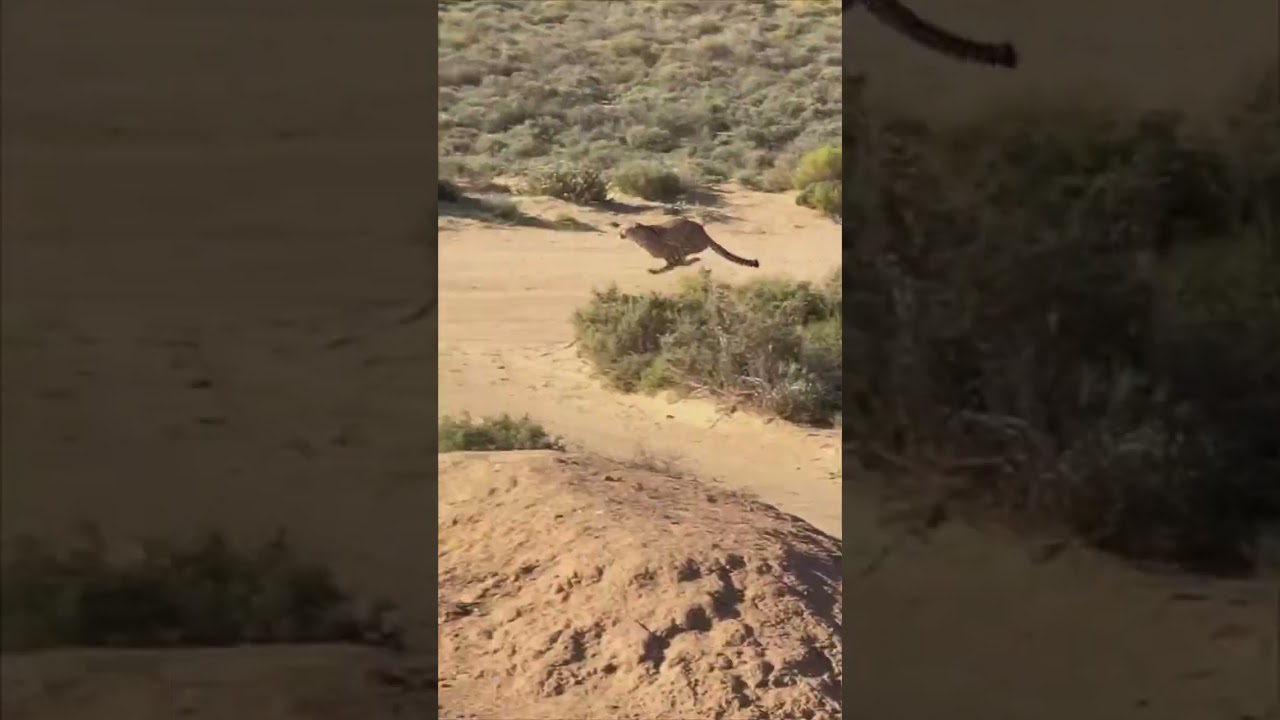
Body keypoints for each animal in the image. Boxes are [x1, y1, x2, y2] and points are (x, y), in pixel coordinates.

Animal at [620, 219, 760, 275]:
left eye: (625, 230)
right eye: (620, 229)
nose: (620, 234)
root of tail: (703, 231)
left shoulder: (674, 247)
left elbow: (680, 260)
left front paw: (691, 261)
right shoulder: (667, 256)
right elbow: (669, 265)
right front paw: (658, 270)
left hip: (693, 241)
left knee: (693, 249)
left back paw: (692, 256)